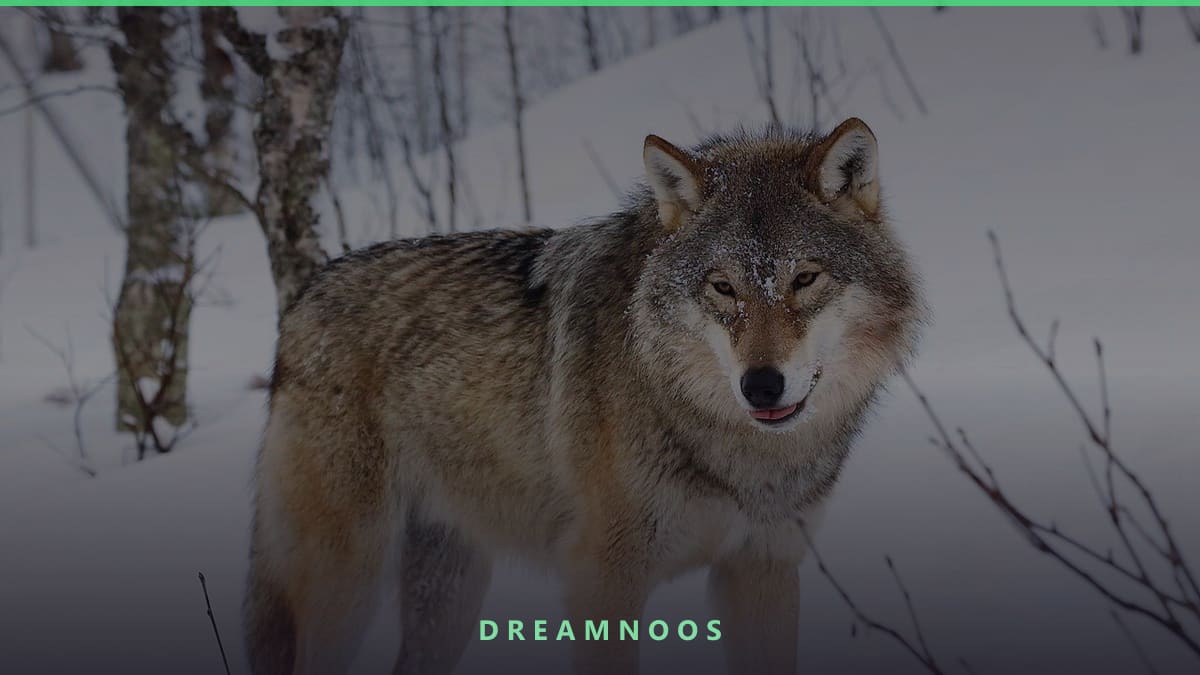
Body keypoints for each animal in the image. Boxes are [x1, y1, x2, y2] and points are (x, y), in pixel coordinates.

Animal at [244, 117, 924, 675]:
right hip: (350, 578)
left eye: (805, 278)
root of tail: (303, 298)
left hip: (450, 592)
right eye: (723, 287)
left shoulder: (763, 567)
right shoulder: (603, 577)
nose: (761, 385)